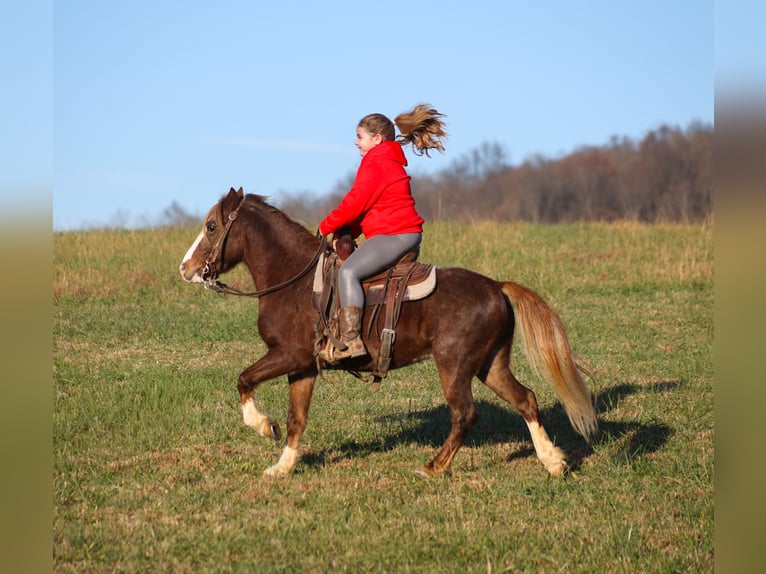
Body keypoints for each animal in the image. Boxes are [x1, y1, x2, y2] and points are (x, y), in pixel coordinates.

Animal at [179, 187, 598, 478]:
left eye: (212, 226)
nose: (186, 268)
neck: (294, 280)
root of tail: (496, 286)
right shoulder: (303, 367)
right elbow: (297, 419)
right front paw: (282, 467)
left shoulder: (288, 356)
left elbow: (244, 379)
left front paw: (265, 427)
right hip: (490, 365)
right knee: (526, 399)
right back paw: (553, 462)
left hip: (454, 366)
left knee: (464, 414)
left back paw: (433, 467)